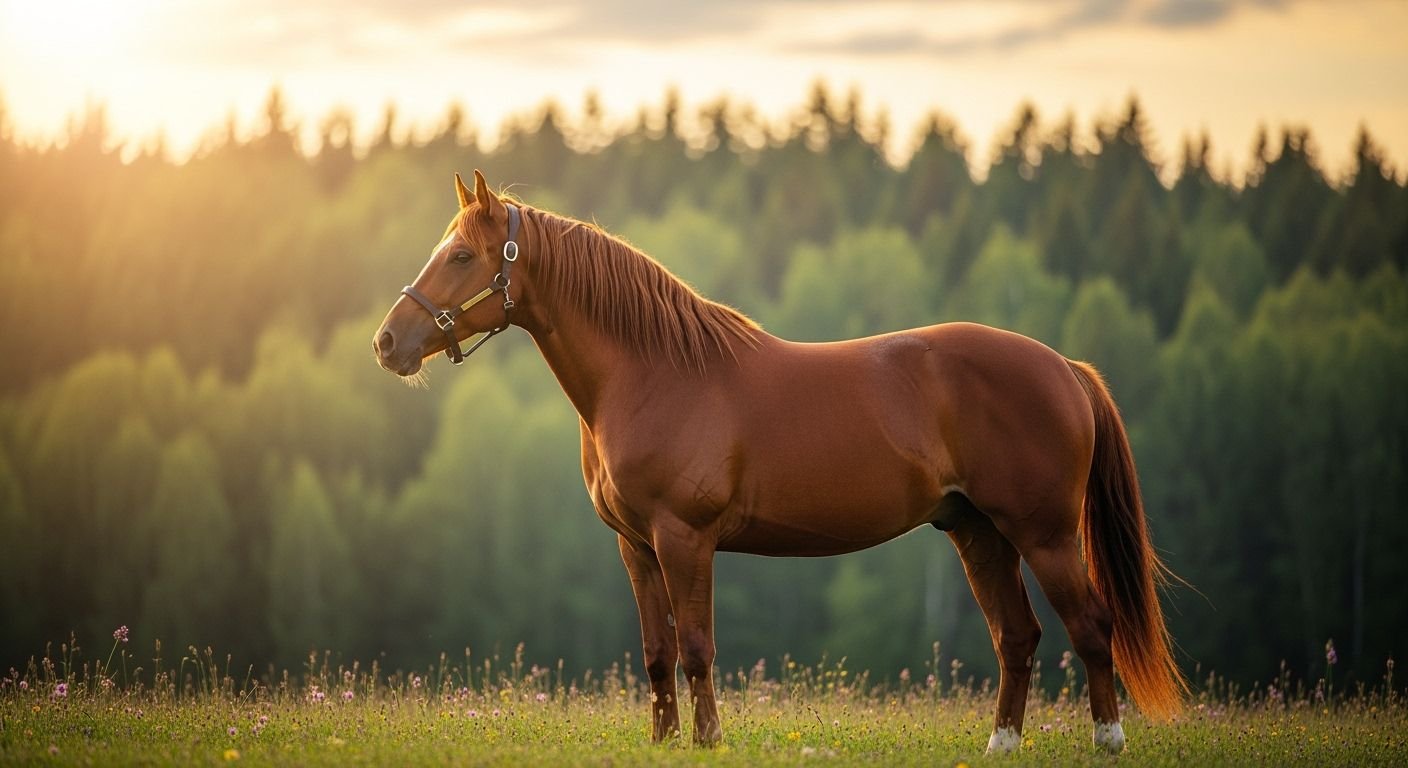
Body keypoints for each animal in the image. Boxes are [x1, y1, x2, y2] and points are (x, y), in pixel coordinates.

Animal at [373, 170, 1186, 754]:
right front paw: (665, 741)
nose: (387, 343)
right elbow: (656, 654)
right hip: (977, 533)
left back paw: (1107, 740)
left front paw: (707, 742)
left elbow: (697, 648)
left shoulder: (685, 538)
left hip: (1043, 535)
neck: (654, 371)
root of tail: (1064, 367)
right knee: (1017, 637)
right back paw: (1001, 746)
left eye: (461, 255)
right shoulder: (635, 547)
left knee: (1091, 626)